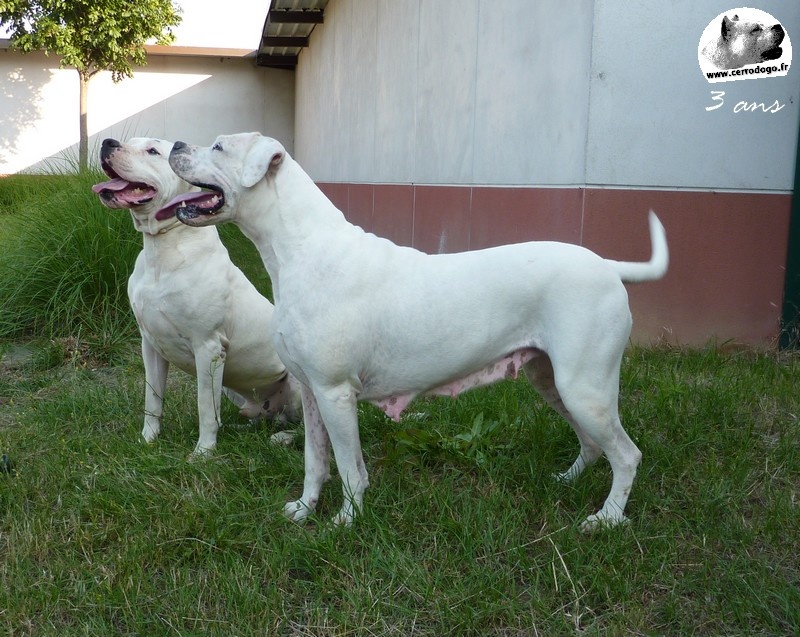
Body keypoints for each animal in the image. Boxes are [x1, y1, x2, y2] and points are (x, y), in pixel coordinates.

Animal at [91, 137, 304, 454]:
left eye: (152, 151)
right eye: (127, 142)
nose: (108, 142)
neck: (163, 247)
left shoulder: (208, 347)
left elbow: (205, 406)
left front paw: (204, 452)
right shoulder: (150, 345)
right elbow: (152, 398)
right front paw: (148, 439)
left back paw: (284, 437)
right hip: (234, 387)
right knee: (261, 416)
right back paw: (242, 428)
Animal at [167, 132, 668, 528]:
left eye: (219, 146)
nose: (174, 144)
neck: (300, 248)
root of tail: (607, 265)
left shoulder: (335, 393)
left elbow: (349, 467)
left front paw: (346, 521)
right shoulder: (311, 392)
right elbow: (316, 461)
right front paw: (305, 510)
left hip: (585, 387)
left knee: (627, 455)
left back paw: (607, 519)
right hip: (552, 380)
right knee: (593, 444)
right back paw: (566, 482)